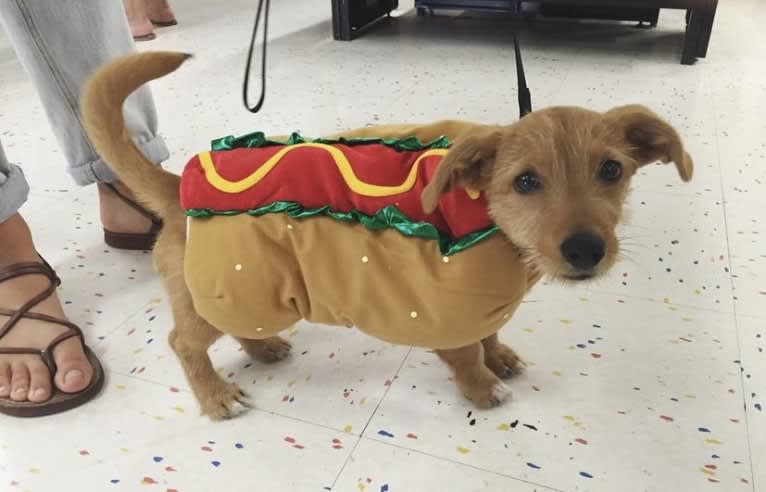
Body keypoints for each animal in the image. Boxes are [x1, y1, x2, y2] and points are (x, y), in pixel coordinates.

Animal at [81, 52, 692, 420]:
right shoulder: (449, 315)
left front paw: (500, 357)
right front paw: (482, 388)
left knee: (237, 328)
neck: (489, 226)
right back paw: (215, 397)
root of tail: (176, 186)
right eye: (525, 182)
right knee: (183, 344)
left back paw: (264, 347)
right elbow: (467, 358)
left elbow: (491, 336)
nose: (586, 251)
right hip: (223, 290)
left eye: (612, 170)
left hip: (248, 293)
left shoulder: (482, 306)